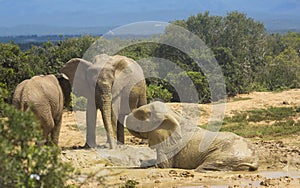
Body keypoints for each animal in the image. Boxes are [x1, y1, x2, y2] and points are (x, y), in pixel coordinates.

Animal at [125, 101, 258, 172]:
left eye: (142, 115)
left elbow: (163, 166)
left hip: (226, 155)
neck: (173, 114)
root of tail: (255, 160)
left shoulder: (168, 145)